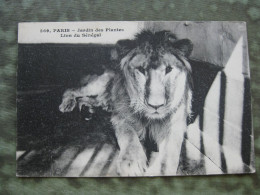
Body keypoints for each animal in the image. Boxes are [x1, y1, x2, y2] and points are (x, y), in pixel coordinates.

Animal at [59, 30, 193, 177]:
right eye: (141, 70)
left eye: (168, 69)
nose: (156, 106)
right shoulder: (121, 118)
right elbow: (129, 136)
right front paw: (131, 164)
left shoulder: (175, 126)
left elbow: (169, 153)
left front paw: (158, 172)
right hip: (97, 85)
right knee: (71, 90)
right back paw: (67, 105)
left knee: (88, 99)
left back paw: (88, 110)